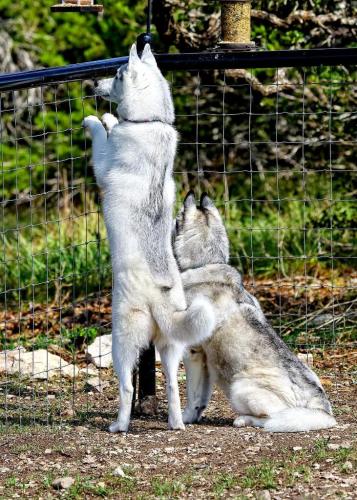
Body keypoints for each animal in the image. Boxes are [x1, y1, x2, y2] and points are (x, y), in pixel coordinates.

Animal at [82, 44, 214, 434]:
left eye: (117, 74)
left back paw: (119, 425)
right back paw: (176, 424)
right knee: (172, 386)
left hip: (121, 341)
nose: (92, 83)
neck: (150, 121)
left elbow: (101, 139)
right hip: (171, 348)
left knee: (126, 386)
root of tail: (160, 297)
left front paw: (98, 120)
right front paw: (109, 119)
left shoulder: (103, 165)